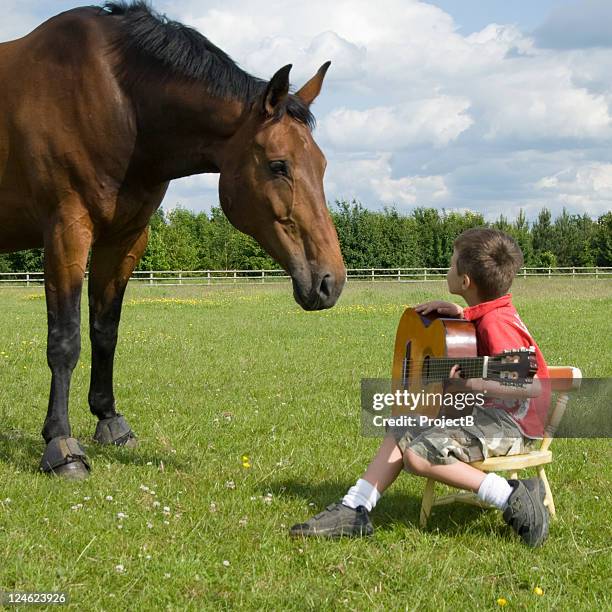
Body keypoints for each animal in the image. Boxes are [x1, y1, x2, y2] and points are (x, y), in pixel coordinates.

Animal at [0, 1, 344, 478]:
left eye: (322, 164)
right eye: (279, 165)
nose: (331, 282)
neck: (118, 101)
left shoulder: (125, 239)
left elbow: (105, 331)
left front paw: (110, 421)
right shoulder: (67, 232)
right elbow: (65, 339)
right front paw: (61, 446)